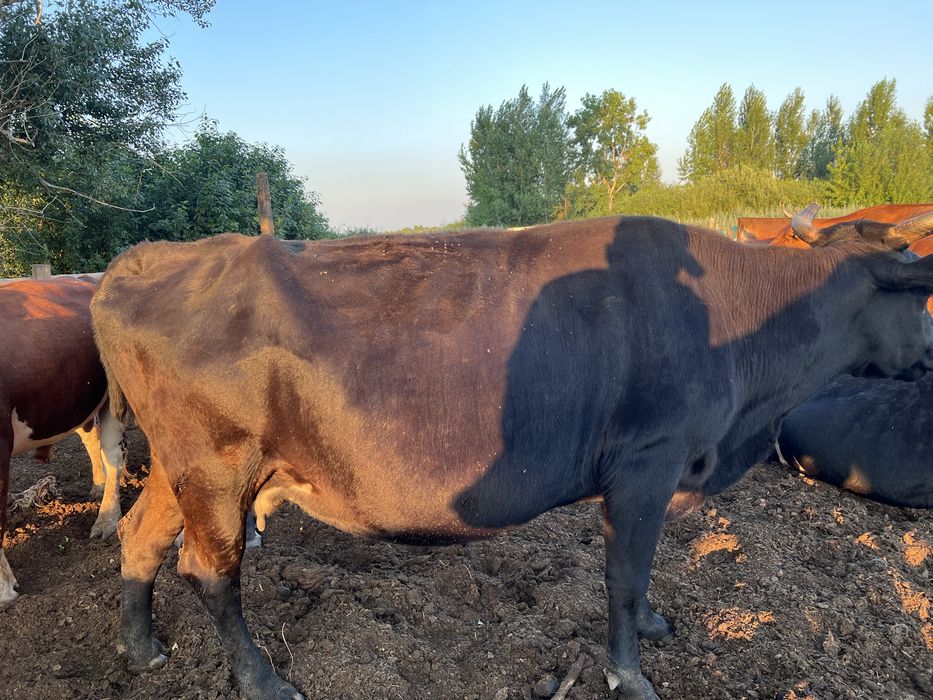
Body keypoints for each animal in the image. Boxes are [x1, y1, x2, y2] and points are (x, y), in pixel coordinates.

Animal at [90, 210, 933, 700]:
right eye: (921, 298)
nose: (928, 355)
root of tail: (142, 260)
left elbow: (644, 574)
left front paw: (655, 623)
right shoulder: (645, 463)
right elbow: (622, 576)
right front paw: (630, 674)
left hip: (181, 470)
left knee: (140, 538)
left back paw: (142, 649)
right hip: (216, 466)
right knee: (209, 571)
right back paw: (262, 681)